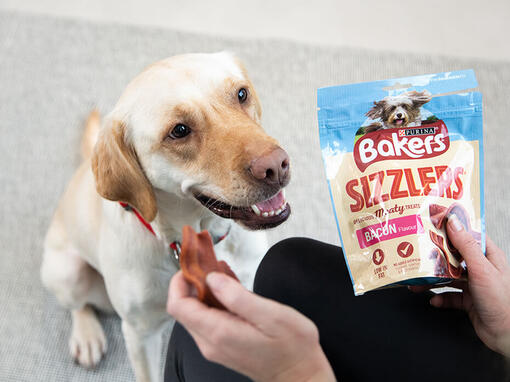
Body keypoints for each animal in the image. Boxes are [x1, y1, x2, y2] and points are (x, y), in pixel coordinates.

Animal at [41, 51, 290, 382]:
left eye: (241, 94)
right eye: (179, 131)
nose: (276, 166)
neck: (198, 235)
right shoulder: (140, 334)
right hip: (68, 272)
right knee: (79, 306)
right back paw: (87, 335)